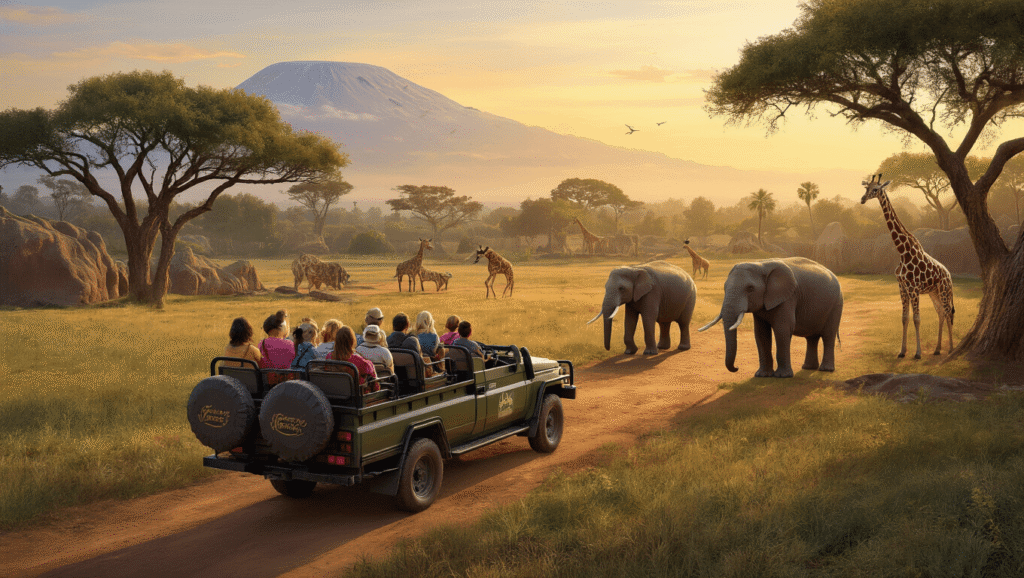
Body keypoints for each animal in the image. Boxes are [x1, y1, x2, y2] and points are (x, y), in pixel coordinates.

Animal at [698, 257, 843, 378]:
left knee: (828, 335)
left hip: (836, 304)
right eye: (724, 287)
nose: (737, 368)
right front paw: (762, 375)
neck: (761, 264)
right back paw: (808, 368)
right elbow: (761, 333)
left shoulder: (788, 297)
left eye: (750, 288)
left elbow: (782, 329)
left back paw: (826, 369)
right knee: (812, 338)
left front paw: (782, 376)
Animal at [861, 173, 955, 358]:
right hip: (934, 292)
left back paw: (950, 349)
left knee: (948, 312)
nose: (862, 199)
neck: (903, 252)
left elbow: (917, 319)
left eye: (876, 189)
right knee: (941, 312)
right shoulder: (902, 287)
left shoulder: (913, 288)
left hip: (943, 290)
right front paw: (902, 351)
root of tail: (949, 275)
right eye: (866, 188)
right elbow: (904, 318)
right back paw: (937, 349)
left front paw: (917, 353)